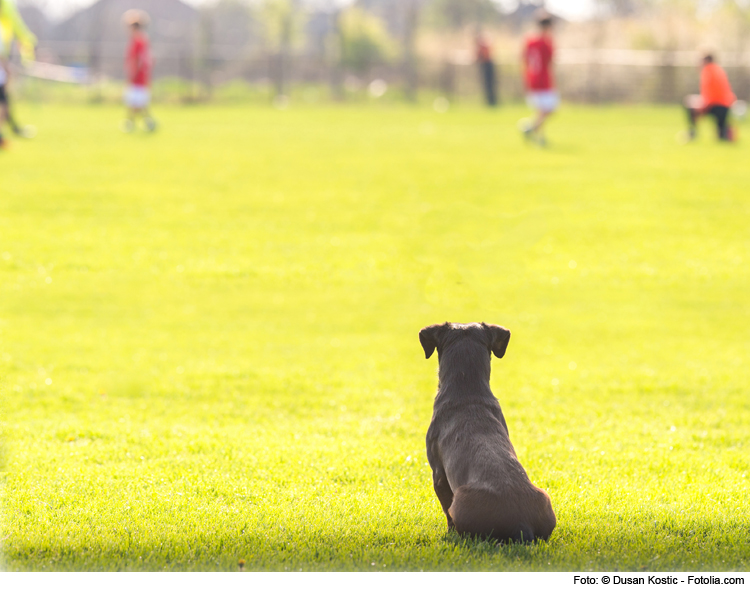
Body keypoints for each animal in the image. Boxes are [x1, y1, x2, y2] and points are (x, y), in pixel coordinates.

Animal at [424, 324, 560, 544]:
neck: (468, 392)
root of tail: (521, 525)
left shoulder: (439, 474)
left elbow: (445, 510)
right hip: (544, 498)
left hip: (460, 500)